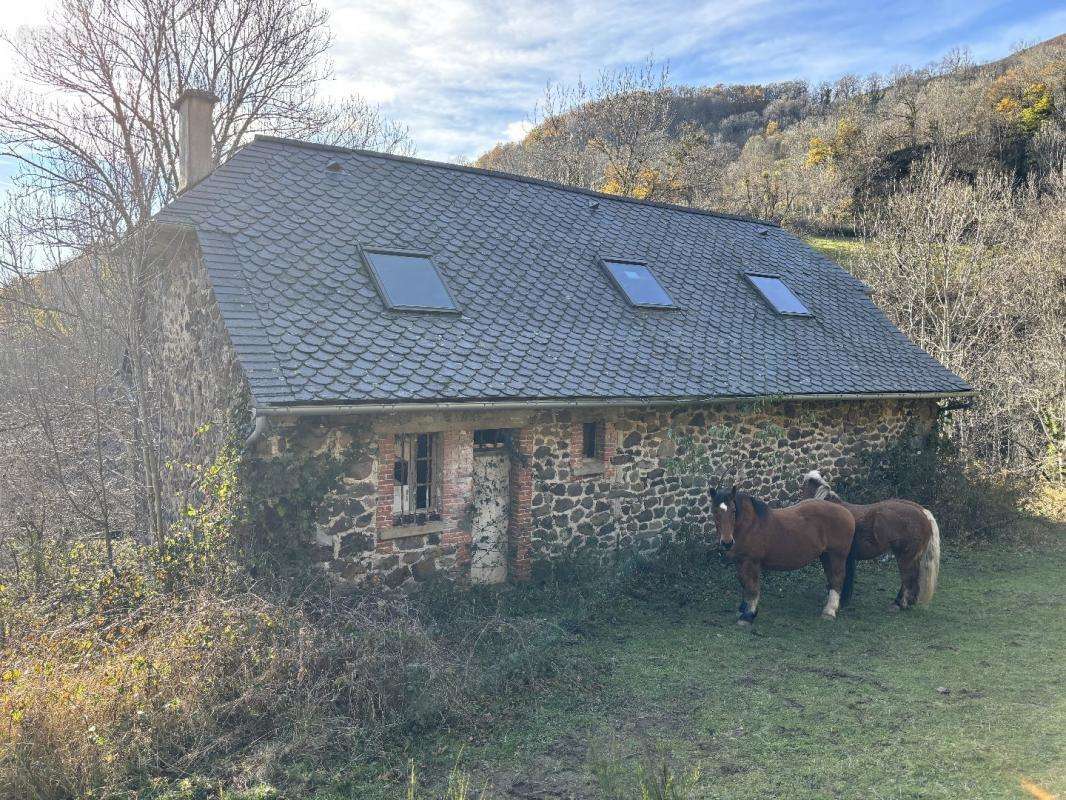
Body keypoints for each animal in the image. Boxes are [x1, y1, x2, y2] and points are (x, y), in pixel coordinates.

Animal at [716, 486, 857, 631]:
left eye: (733, 511)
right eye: (715, 511)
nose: (726, 542)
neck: (750, 525)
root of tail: (846, 511)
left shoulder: (751, 562)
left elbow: (752, 587)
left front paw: (748, 616)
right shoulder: (740, 562)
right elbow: (744, 584)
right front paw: (743, 610)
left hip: (836, 556)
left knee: (837, 579)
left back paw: (829, 612)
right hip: (826, 556)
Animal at [801, 469, 942, 614]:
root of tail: (923, 512)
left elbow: (833, 576)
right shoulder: (848, 558)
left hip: (905, 557)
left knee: (907, 578)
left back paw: (899, 604)